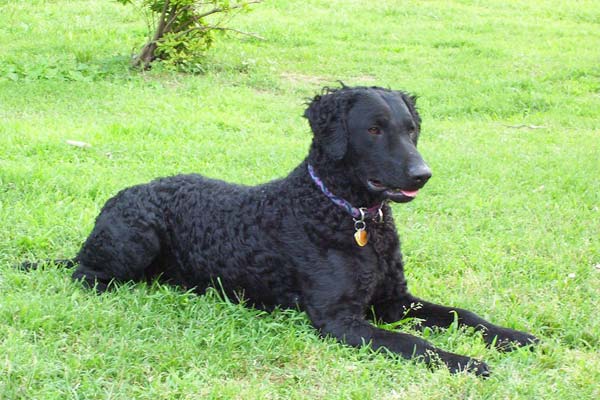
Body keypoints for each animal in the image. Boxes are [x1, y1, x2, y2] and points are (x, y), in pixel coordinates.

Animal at [25, 85, 536, 376]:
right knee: (86, 276)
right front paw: (466, 362)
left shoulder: (395, 300)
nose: (422, 174)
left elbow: (463, 315)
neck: (344, 213)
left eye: (411, 129)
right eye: (374, 129)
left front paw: (514, 336)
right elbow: (416, 344)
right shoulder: (340, 320)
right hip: (134, 239)